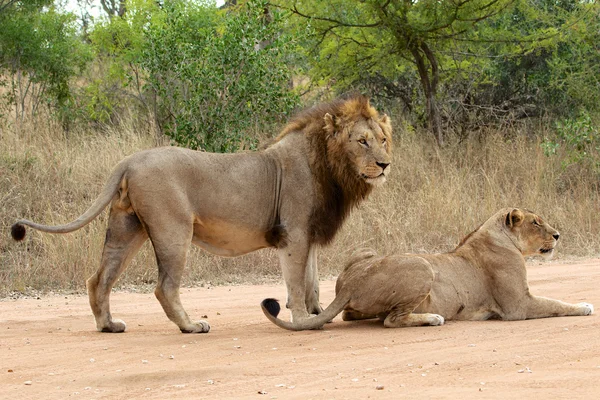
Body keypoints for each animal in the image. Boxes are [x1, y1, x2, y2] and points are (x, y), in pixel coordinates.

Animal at [11, 95, 394, 332]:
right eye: (362, 141)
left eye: (383, 139)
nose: (384, 165)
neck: (329, 167)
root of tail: (129, 160)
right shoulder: (294, 233)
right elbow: (297, 284)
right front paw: (302, 321)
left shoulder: (309, 233)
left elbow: (312, 282)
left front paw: (318, 316)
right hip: (173, 229)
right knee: (164, 287)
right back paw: (191, 326)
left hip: (126, 227)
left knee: (99, 278)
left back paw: (109, 326)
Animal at [262, 208, 592, 330]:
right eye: (536, 223)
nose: (558, 235)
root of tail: (350, 284)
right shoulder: (518, 305)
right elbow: (557, 304)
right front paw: (585, 306)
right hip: (422, 265)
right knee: (391, 320)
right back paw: (433, 318)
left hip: (367, 253)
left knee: (353, 315)